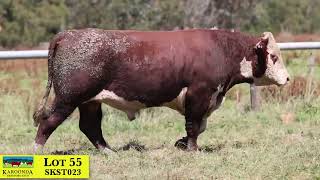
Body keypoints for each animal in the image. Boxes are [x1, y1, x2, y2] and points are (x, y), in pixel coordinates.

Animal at [33, 28, 290, 152]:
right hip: (68, 99)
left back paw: (108, 151)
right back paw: (36, 152)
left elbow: (199, 126)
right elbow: (194, 125)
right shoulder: (198, 94)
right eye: (274, 56)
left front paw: (181, 143)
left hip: (89, 101)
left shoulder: (208, 98)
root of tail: (68, 33)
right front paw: (191, 149)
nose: (287, 78)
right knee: (47, 123)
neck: (222, 49)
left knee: (90, 127)